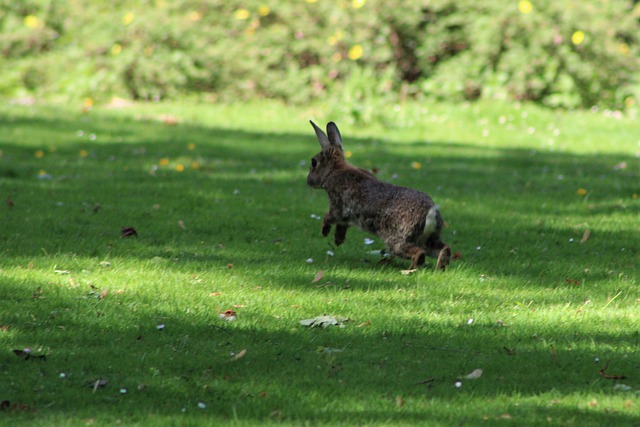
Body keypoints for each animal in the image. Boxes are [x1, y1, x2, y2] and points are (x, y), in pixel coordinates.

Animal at [308, 120, 450, 270]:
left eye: (313, 162)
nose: (308, 181)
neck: (335, 170)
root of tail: (430, 214)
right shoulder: (345, 217)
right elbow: (342, 226)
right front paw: (338, 241)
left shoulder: (338, 206)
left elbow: (329, 216)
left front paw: (325, 231)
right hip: (428, 240)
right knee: (444, 249)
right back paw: (440, 268)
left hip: (397, 240)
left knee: (418, 253)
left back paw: (411, 269)